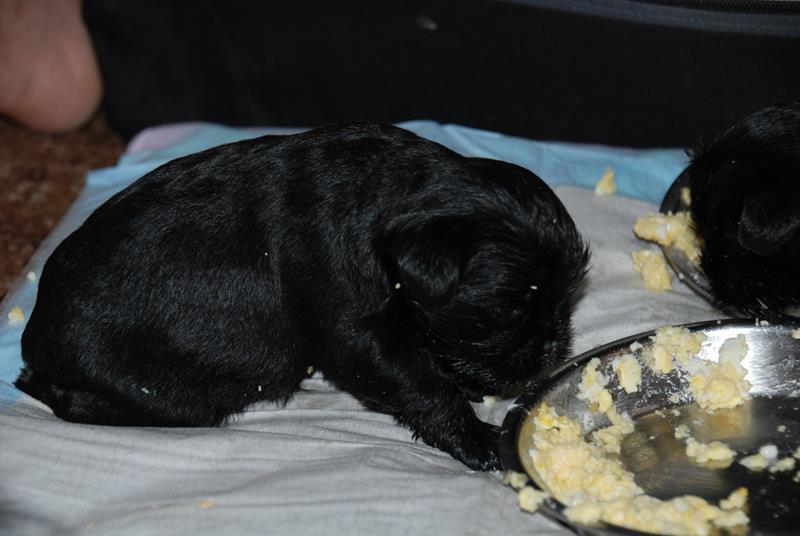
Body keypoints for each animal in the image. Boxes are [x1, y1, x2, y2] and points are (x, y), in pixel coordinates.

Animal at [16, 123, 589, 470]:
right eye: (507, 311)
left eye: (565, 302)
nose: (552, 345)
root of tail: (34, 334)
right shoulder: (359, 338)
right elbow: (423, 387)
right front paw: (477, 439)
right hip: (168, 396)